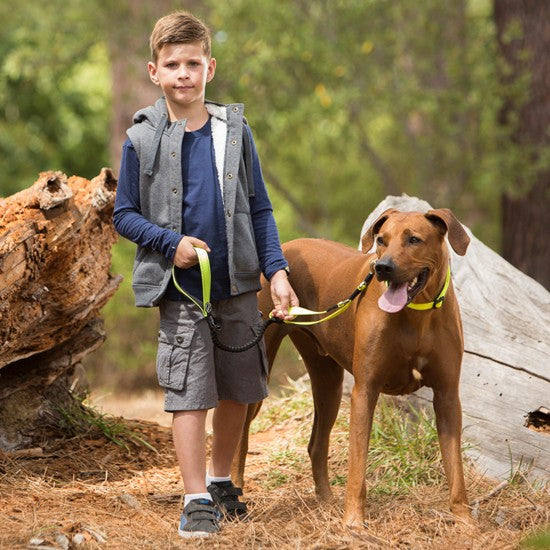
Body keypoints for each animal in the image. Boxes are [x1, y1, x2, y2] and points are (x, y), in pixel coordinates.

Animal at [235, 209, 472, 528]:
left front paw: (465, 521)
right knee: (239, 440)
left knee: (317, 444)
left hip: (329, 383)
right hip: (260, 377)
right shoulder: (365, 391)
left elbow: (456, 469)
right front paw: (354, 522)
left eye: (414, 239)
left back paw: (326, 502)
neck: (416, 315)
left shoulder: (447, 395)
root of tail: (286, 248)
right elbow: (357, 468)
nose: (382, 267)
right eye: (381, 240)